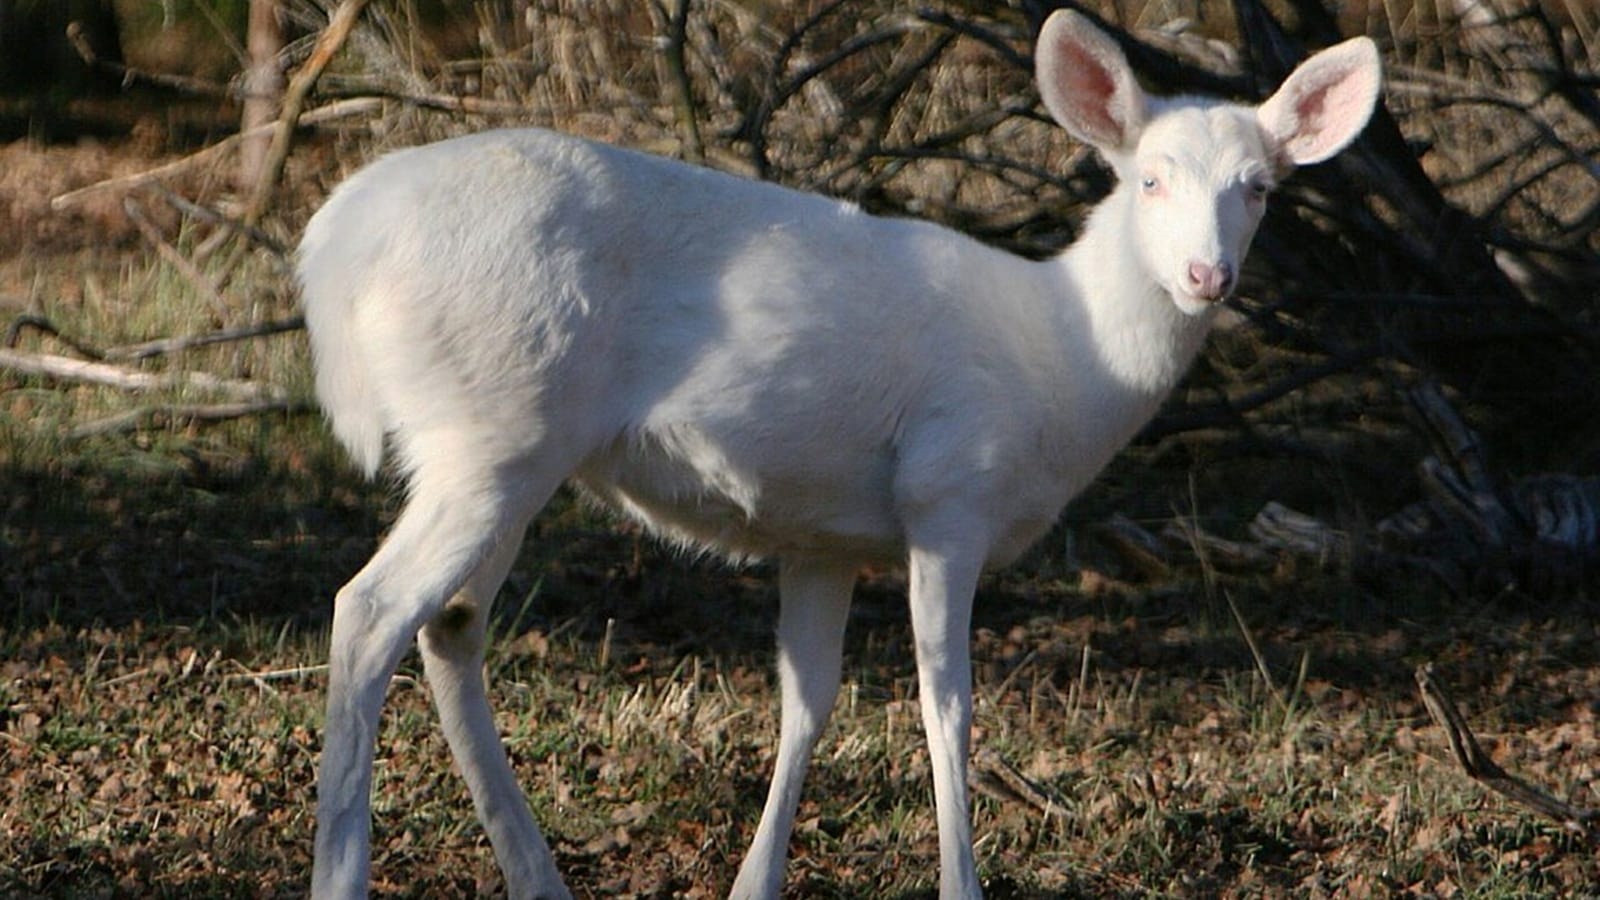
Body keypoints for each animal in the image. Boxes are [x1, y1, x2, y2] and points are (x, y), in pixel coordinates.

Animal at [295, 9, 1381, 899]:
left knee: (452, 624)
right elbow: (947, 705)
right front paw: (960, 885)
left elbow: (806, 705)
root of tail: (334, 248)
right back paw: (343, 873)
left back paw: (538, 878)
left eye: (1259, 189)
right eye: (1149, 179)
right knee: (369, 607)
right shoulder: (949, 489)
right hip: (492, 422)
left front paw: (754, 885)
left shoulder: (822, 536)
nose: (1207, 275)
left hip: (497, 441)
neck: (1065, 359)